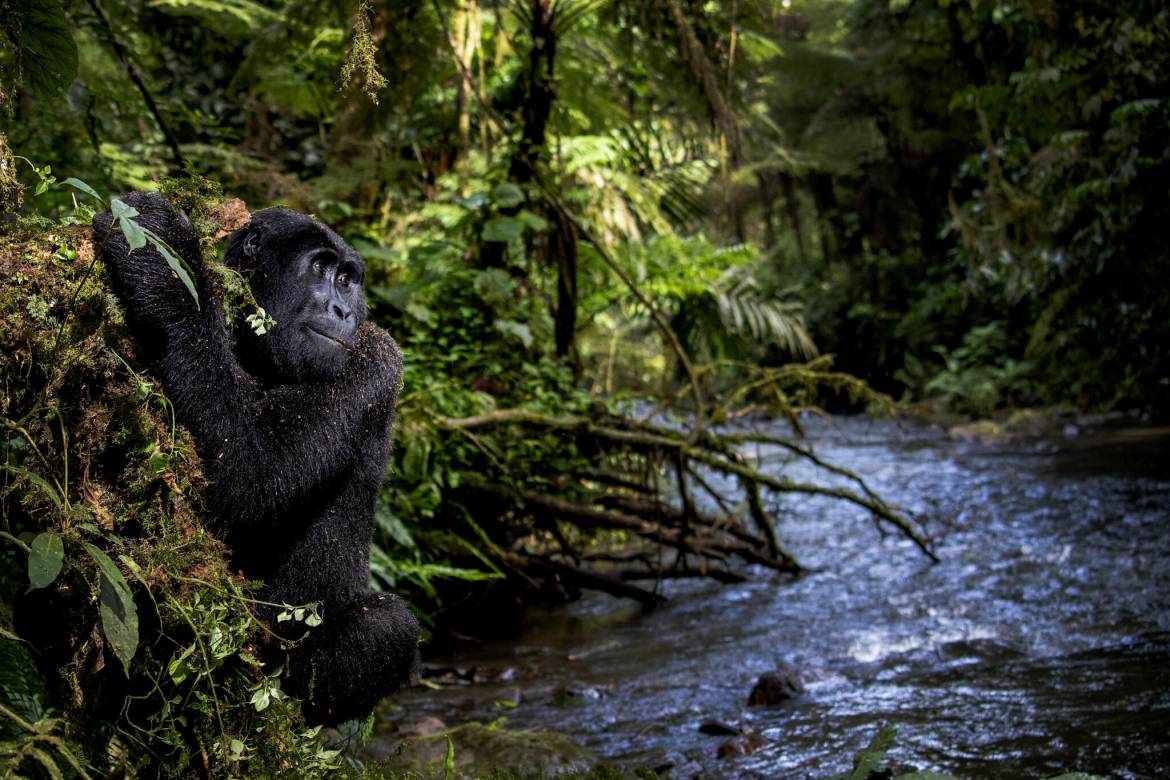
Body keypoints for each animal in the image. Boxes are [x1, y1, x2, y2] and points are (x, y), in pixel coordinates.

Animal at [93, 190, 421, 725]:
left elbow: (251, 474)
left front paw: (164, 256)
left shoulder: (375, 355)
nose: (342, 310)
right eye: (321, 268)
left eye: (348, 280)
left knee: (388, 626)